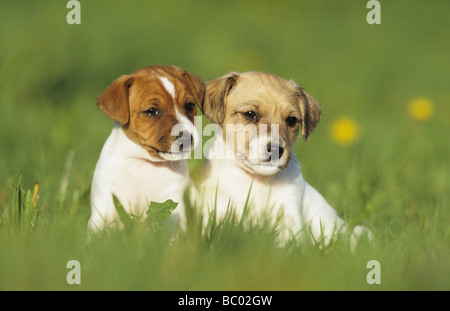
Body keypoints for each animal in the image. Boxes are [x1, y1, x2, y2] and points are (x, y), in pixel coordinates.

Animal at [89, 66, 205, 234]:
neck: (143, 164)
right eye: (152, 111)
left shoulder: (174, 201)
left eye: (189, 106)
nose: (187, 138)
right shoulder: (103, 207)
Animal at [200, 71, 372, 246]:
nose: (276, 150)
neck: (256, 180)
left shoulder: (288, 215)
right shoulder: (216, 210)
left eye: (291, 120)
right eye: (250, 114)